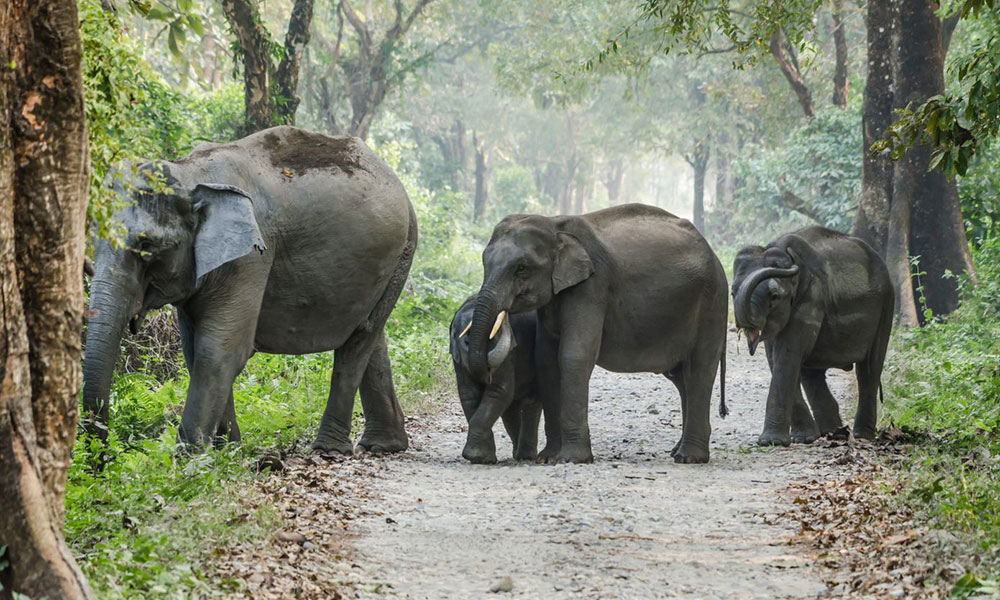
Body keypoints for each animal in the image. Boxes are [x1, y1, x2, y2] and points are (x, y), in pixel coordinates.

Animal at [81, 127, 418, 454]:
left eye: (147, 245)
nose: (101, 457)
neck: (188, 173)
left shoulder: (251, 257)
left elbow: (220, 348)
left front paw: (187, 458)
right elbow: (194, 350)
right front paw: (227, 451)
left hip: (400, 252)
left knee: (359, 342)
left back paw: (329, 450)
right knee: (370, 333)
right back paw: (383, 446)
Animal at [452, 296, 544, 464]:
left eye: (493, 339)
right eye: (466, 342)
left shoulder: (511, 353)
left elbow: (499, 390)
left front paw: (478, 456)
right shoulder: (458, 360)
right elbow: (469, 395)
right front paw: (482, 458)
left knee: (532, 401)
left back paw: (525, 456)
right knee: (510, 408)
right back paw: (517, 453)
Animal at [732, 227, 896, 448]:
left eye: (774, 297)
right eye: (732, 293)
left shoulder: (811, 299)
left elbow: (786, 356)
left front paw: (771, 442)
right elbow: (777, 358)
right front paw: (802, 439)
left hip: (887, 304)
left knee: (869, 369)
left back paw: (861, 436)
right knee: (812, 374)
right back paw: (832, 432)